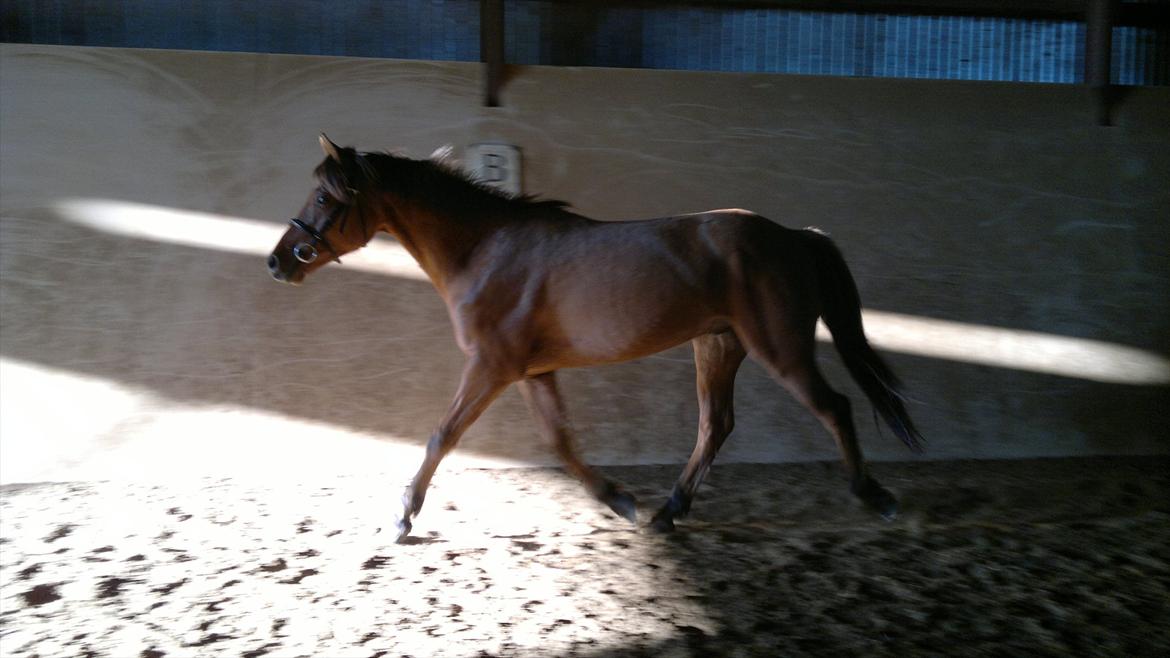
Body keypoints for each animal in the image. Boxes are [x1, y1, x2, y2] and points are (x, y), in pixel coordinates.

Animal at [268, 135, 923, 543]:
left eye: (324, 196)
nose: (278, 262)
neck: (485, 249)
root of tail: (794, 236)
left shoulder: (490, 367)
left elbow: (441, 436)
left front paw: (403, 516)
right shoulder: (531, 372)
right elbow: (561, 443)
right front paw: (620, 500)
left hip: (778, 347)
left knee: (833, 407)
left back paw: (875, 496)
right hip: (717, 345)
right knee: (715, 426)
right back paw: (667, 514)